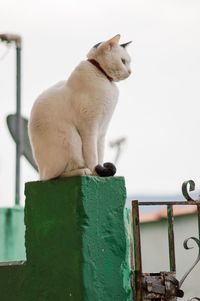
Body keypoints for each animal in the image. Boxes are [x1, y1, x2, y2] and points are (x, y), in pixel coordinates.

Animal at [28, 34, 131, 179]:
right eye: (123, 61)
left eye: (129, 62)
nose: (130, 71)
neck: (104, 78)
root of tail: (41, 171)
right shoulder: (89, 126)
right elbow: (92, 154)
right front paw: (95, 172)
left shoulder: (102, 130)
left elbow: (100, 153)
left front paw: (101, 171)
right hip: (72, 137)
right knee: (57, 175)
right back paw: (83, 171)